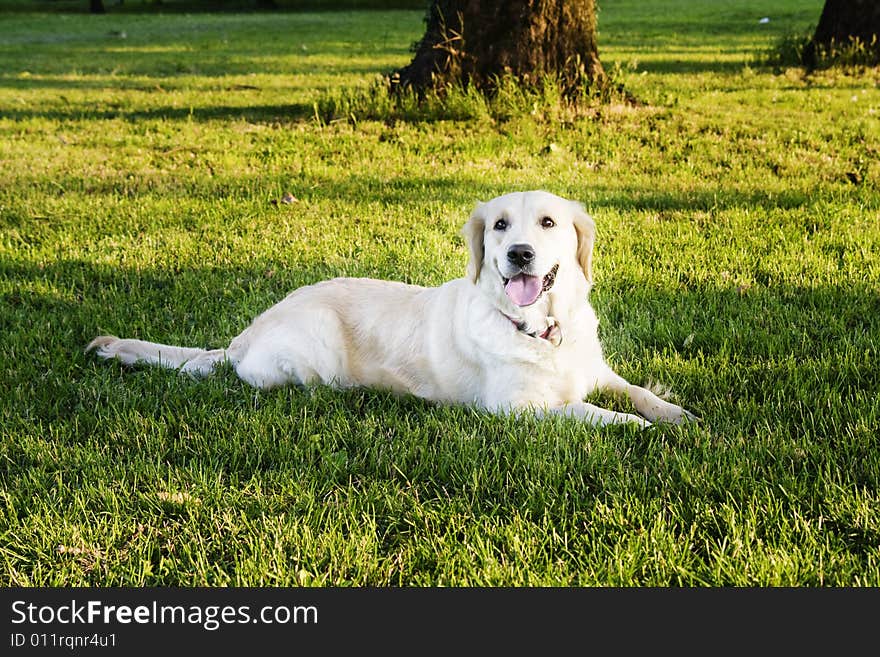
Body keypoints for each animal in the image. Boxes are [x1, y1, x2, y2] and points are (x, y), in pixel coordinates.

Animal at [87, 191, 696, 426]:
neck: (538, 329)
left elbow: (637, 392)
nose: (519, 254)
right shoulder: (516, 408)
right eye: (500, 225)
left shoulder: (595, 370)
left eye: (548, 223)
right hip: (314, 352)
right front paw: (642, 429)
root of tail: (244, 335)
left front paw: (677, 415)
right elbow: (594, 414)